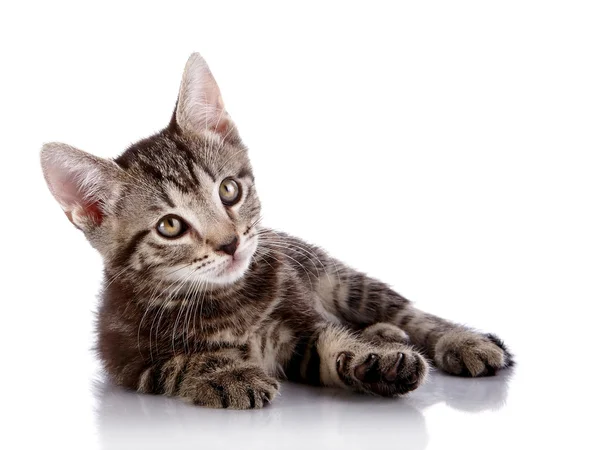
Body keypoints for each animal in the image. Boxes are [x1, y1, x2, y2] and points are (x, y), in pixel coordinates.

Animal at [41, 54, 510, 410]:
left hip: (337, 277)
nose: (230, 243)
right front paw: (230, 375)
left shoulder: (302, 319)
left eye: (228, 190)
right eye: (170, 226)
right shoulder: (128, 358)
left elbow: (331, 339)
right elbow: (185, 361)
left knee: (408, 312)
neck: (225, 302)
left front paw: (375, 359)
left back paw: (455, 340)